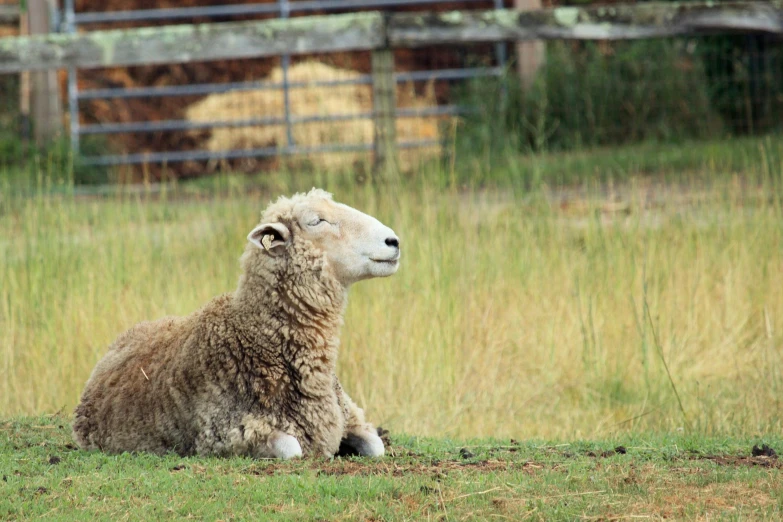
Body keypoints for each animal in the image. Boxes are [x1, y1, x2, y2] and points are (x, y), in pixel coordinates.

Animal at [71, 189, 402, 458]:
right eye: (316, 221)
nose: (393, 241)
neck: (253, 337)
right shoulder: (228, 433)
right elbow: (291, 448)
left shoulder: (350, 415)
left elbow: (376, 446)